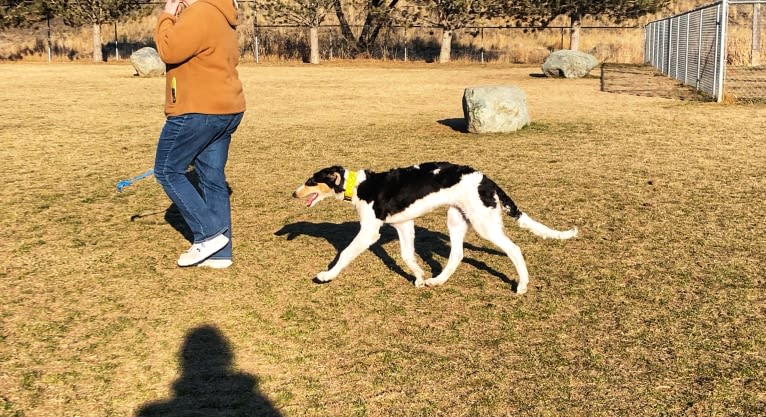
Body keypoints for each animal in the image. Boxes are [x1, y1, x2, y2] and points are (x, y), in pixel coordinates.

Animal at [292, 161, 580, 294]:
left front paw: (326, 276)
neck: (359, 186)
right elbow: (408, 256)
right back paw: (437, 280)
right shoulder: (404, 225)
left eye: (311, 181)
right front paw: (420, 277)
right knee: (457, 255)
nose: (293, 194)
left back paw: (522, 285)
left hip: (484, 224)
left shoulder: (370, 231)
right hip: (456, 220)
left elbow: (344, 254)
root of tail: (487, 180)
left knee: (514, 249)